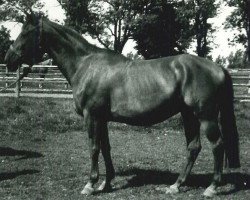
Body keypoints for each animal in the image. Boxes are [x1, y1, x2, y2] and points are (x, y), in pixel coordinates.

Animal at [4, 13, 240, 198]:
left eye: (25, 33)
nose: (8, 60)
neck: (86, 65)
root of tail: (218, 68)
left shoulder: (92, 117)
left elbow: (93, 148)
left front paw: (90, 184)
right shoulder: (102, 119)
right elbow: (105, 148)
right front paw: (106, 183)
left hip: (205, 116)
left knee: (217, 145)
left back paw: (211, 187)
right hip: (188, 115)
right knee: (193, 147)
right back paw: (176, 185)